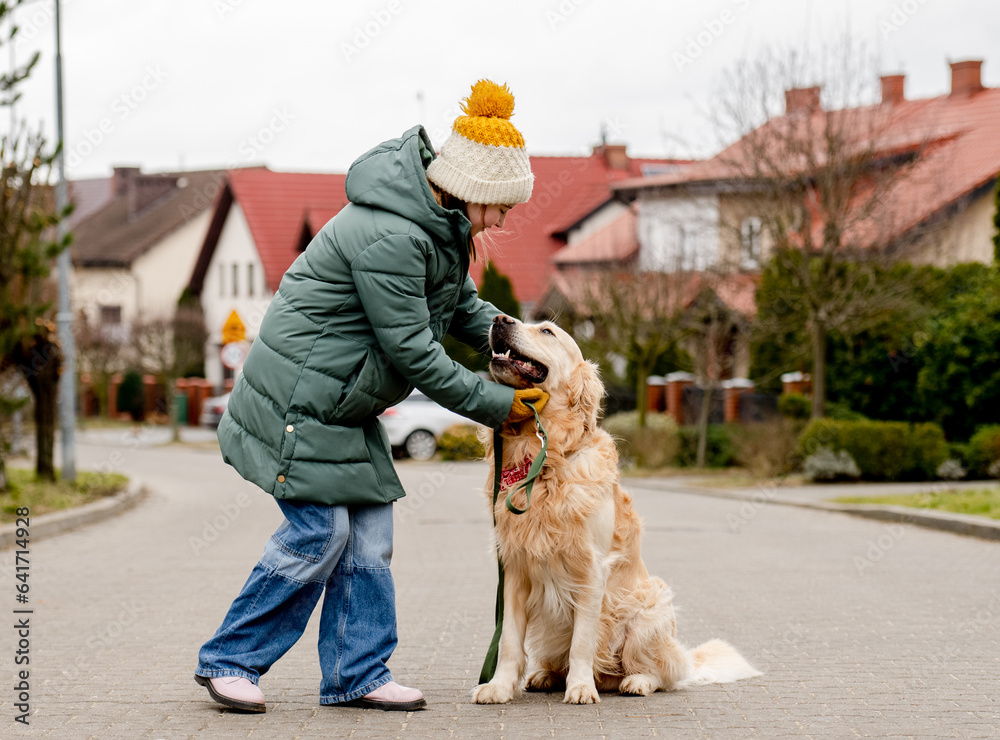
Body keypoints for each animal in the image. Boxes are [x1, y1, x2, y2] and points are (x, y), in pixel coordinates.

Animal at [472, 314, 760, 704]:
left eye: (547, 331)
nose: (499, 319)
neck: (545, 458)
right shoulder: (514, 568)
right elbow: (509, 641)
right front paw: (499, 686)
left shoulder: (591, 569)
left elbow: (582, 641)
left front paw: (580, 687)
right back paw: (545, 675)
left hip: (649, 606)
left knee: (662, 672)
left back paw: (634, 681)